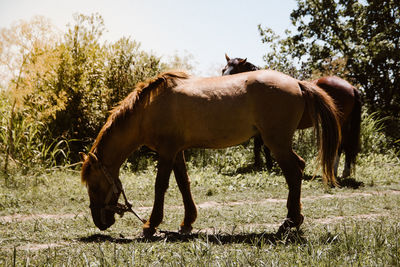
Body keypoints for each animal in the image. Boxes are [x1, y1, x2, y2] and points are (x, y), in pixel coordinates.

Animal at [80, 69, 340, 239]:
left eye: (94, 185)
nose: (100, 223)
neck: (148, 110)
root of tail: (297, 83)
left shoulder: (166, 152)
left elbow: (160, 186)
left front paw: (150, 225)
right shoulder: (177, 152)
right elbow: (183, 184)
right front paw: (187, 222)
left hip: (277, 144)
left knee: (294, 172)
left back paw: (288, 223)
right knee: (298, 169)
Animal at [223, 54, 360, 179]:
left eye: (234, 71)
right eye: (224, 70)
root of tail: (351, 87)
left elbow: (262, 147)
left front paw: (266, 166)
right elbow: (259, 147)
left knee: (340, 145)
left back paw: (335, 172)